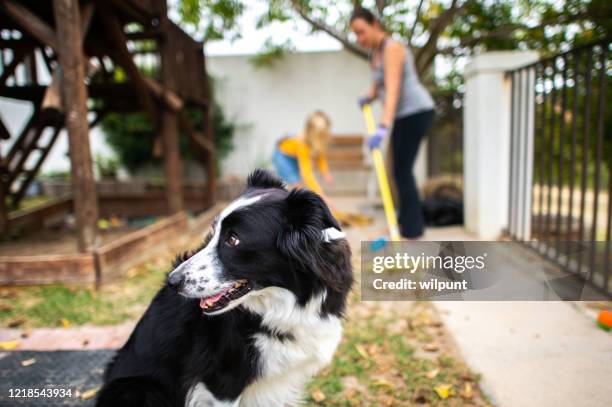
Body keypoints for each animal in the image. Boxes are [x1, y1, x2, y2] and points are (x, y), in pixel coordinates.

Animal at [95, 169, 354, 407]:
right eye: (213, 232)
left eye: (233, 239)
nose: (172, 281)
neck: (283, 304)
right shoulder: (222, 381)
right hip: (139, 389)